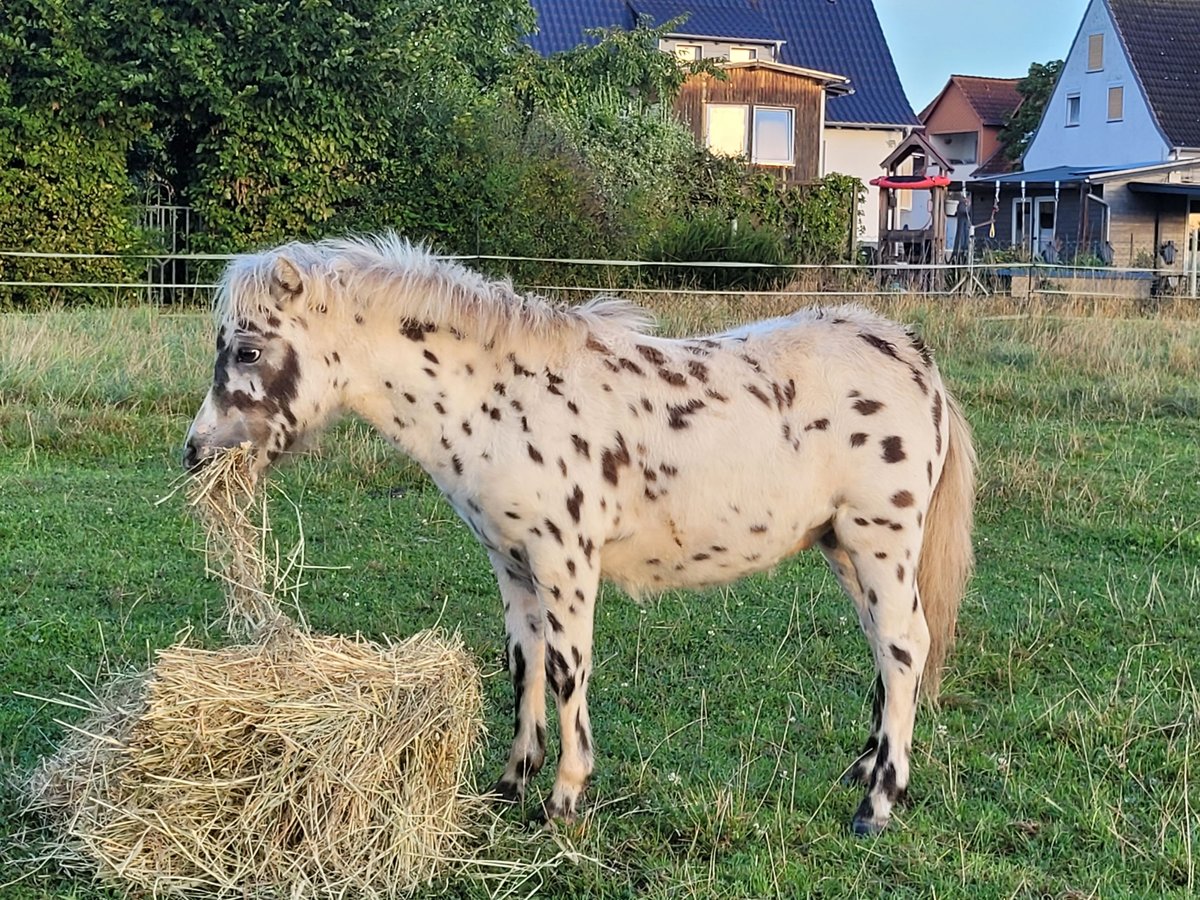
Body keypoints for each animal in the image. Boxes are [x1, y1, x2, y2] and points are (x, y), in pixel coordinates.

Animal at [184, 234, 974, 840]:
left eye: (247, 351)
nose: (195, 452)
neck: (499, 399)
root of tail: (914, 359)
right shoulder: (512, 563)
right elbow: (524, 662)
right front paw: (512, 781)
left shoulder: (565, 560)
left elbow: (567, 668)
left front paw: (564, 796)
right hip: (843, 547)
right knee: (886, 651)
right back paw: (866, 769)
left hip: (881, 544)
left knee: (906, 647)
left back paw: (877, 804)